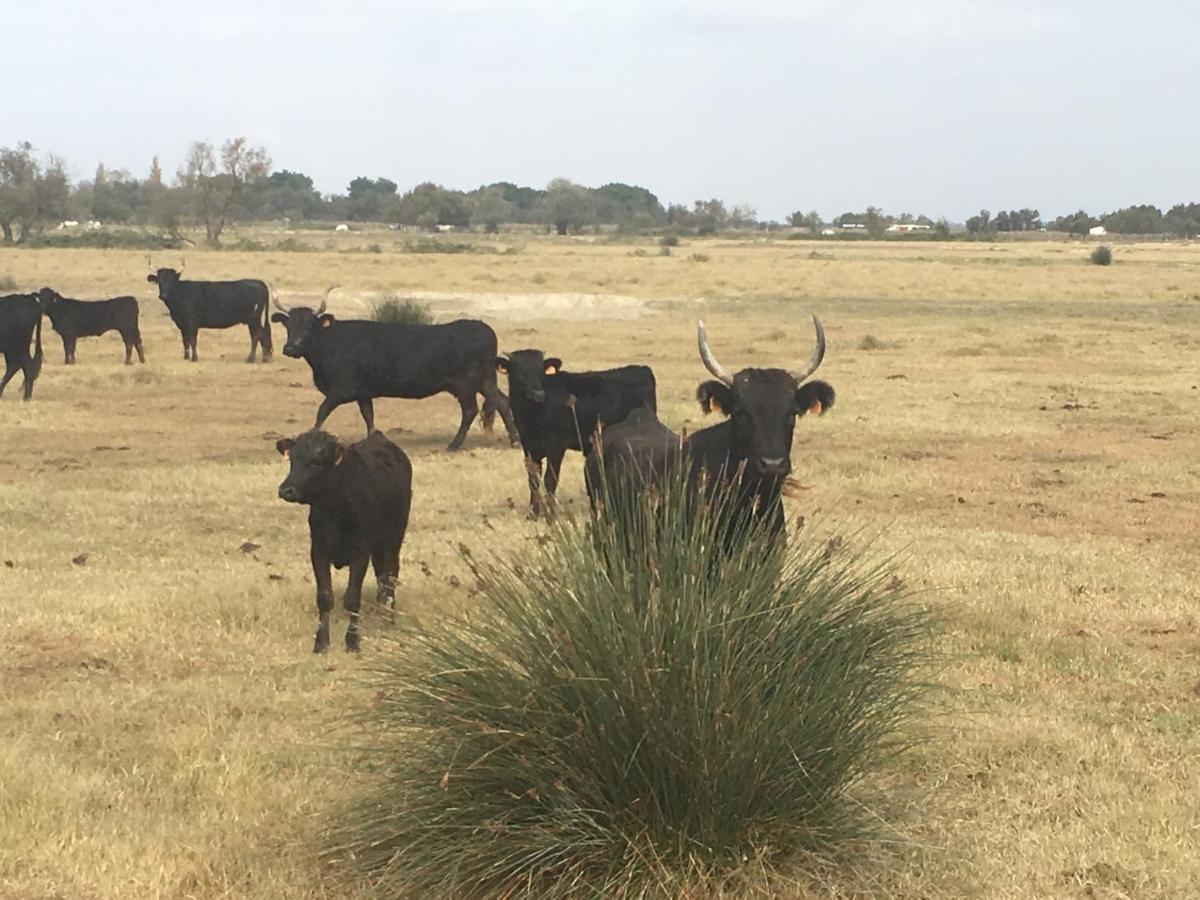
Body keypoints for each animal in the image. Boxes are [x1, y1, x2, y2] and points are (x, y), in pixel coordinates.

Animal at [276, 432, 412, 657]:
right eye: (292, 460)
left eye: (317, 461)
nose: (286, 490)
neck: (336, 510)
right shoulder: (318, 551)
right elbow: (324, 598)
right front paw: (321, 643)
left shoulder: (361, 553)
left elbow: (352, 598)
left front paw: (352, 642)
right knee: (381, 574)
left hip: (394, 539)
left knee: (391, 574)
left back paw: (388, 617)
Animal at [494, 348, 657, 518]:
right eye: (519, 372)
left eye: (541, 372)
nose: (538, 394)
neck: (532, 415)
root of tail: (641, 369)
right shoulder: (529, 448)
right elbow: (533, 479)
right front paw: (533, 513)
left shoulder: (556, 447)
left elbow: (550, 480)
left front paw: (550, 514)